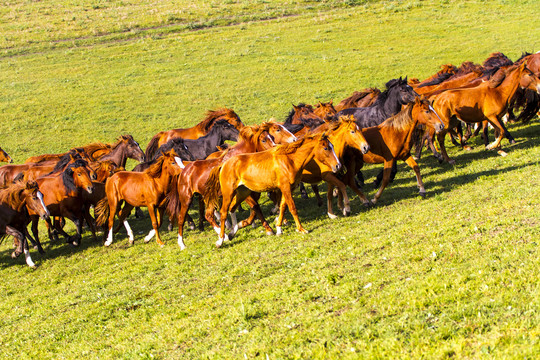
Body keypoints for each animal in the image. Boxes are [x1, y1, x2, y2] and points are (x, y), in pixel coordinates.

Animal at [205, 133, 340, 248]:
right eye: (326, 148)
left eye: (332, 146)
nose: (338, 165)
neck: (289, 160)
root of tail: (223, 165)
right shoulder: (285, 188)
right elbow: (292, 208)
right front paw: (301, 229)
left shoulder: (287, 188)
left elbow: (283, 207)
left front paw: (279, 228)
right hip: (229, 193)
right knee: (223, 213)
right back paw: (221, 240)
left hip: (243, 192)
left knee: (232, 208)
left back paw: (233, 232)